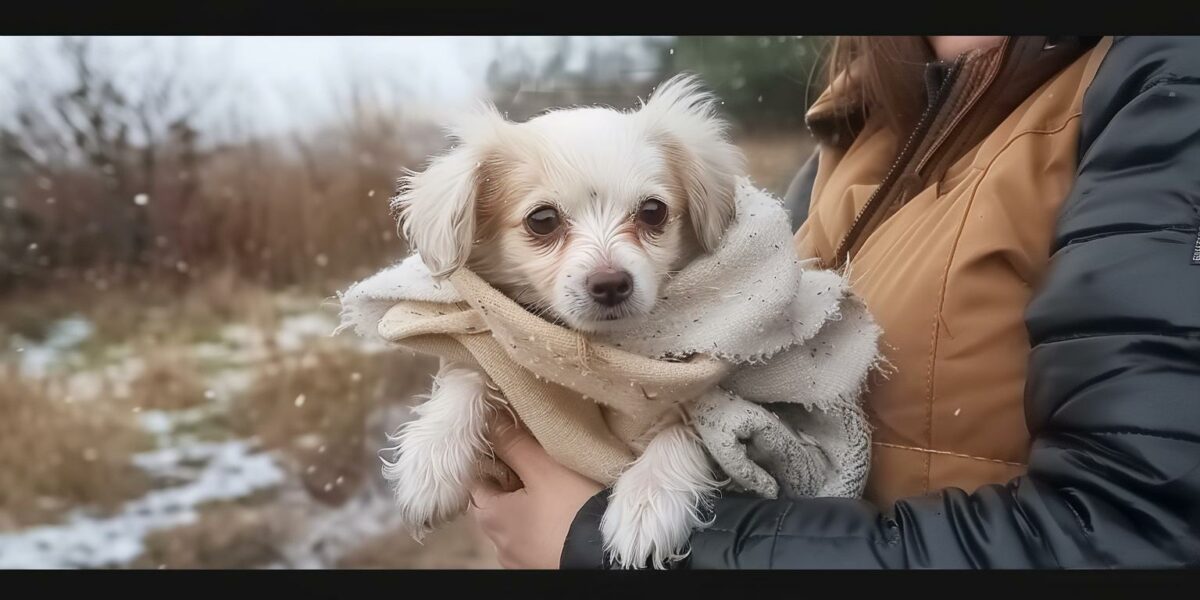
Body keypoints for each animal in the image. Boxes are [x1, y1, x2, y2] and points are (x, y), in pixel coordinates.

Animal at [384, 75, 744, 566]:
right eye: (542, 219)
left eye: (653, 211)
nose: (611, 283)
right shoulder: (494, 352)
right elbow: (470, 371)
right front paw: (431, 458)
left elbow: (693, 427)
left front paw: (647, 500)